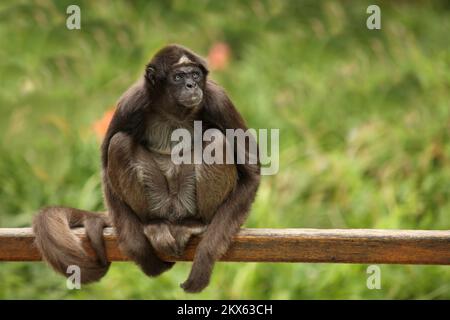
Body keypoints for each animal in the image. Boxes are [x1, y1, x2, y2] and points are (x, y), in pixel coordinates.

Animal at [32, 44, 260, 292]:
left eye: (195, 75)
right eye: (178, 77)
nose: (191, 85)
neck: (173, 113)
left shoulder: (218, 100)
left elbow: (251, 175)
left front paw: (204, 259)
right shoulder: (132, 102)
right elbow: (105, 169)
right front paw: (142, 253)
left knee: (216, 139)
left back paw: (196, 223)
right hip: (158, 201)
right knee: (120, 143)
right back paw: (153, 225)